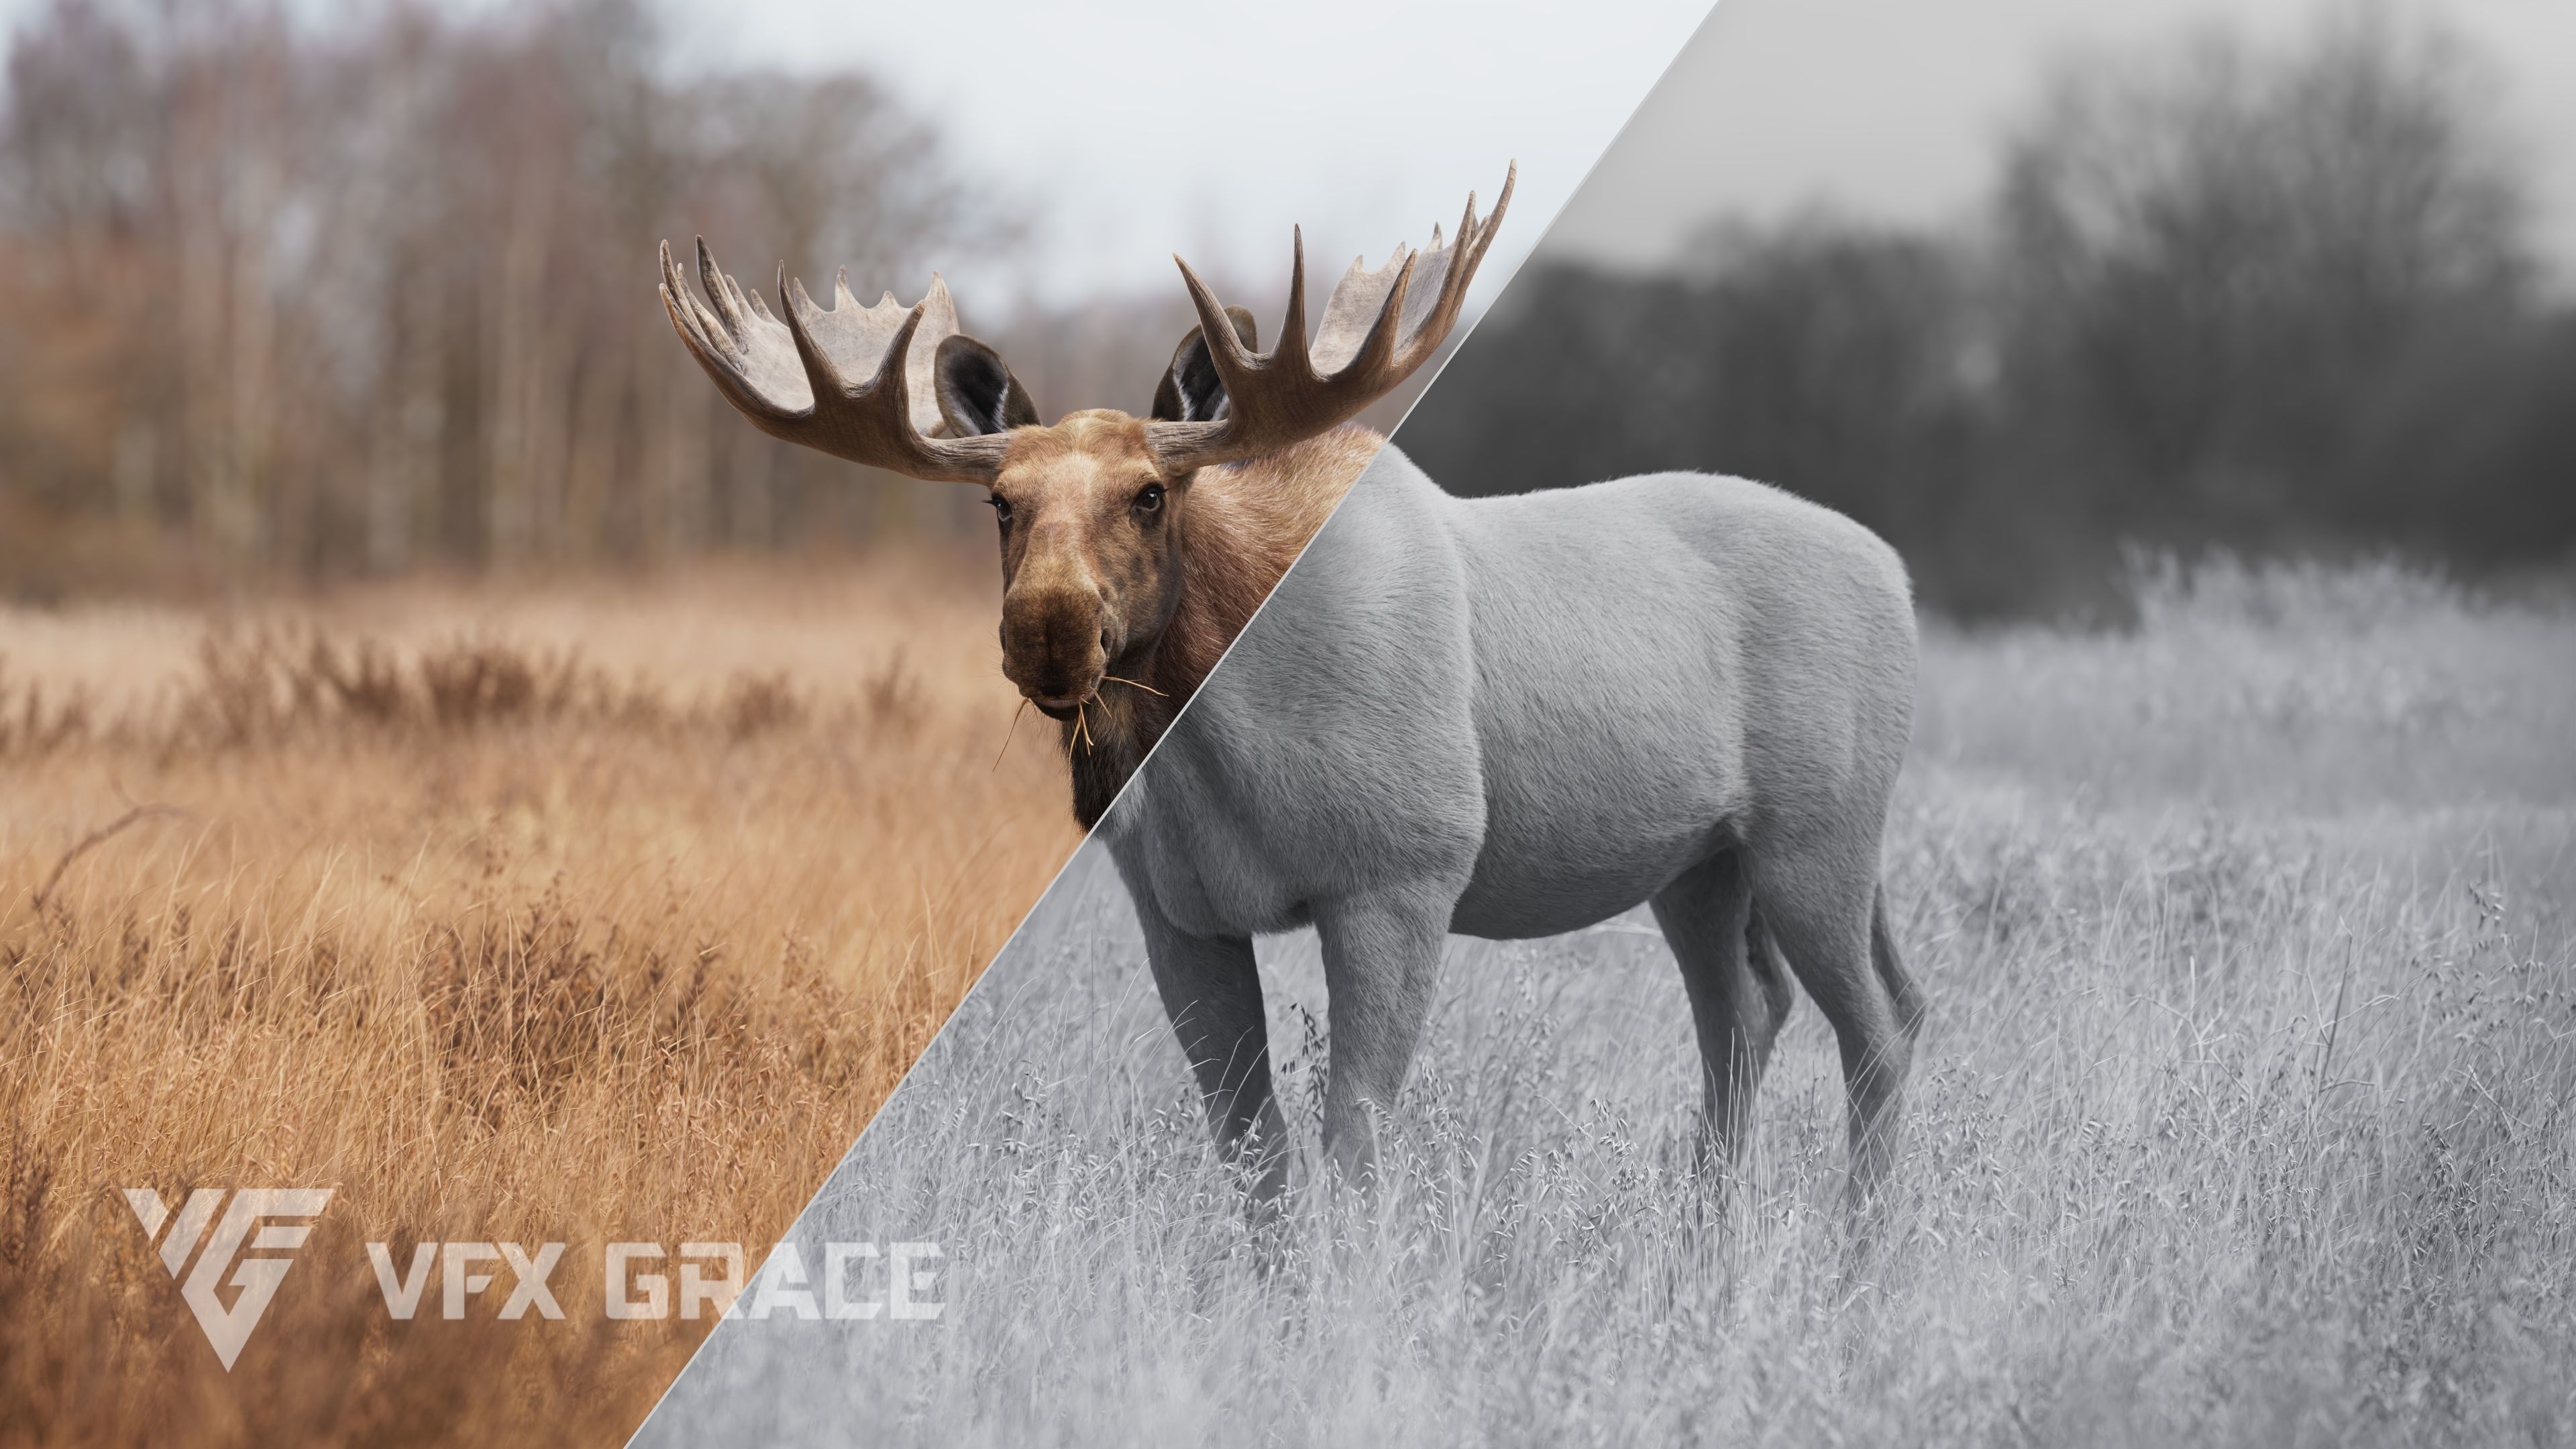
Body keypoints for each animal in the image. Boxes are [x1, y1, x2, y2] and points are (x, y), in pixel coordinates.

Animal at [658, 166, 1924, 1214]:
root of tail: (1901, 576)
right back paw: (1710, 1239)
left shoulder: (1399, 878)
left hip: (1820, 836)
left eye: (1149, 493)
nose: (1046, 632)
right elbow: (1252, 1151)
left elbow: (1353, 1145)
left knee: (1880, 1023)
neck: (1219, 741)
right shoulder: (1180, 915)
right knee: (1751, 1015)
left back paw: (1858, 1252)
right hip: (1699, 866)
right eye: (1000, 503)